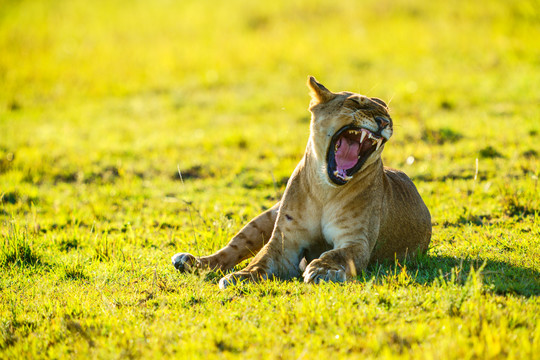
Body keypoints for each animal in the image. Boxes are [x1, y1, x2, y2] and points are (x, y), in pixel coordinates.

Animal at [171, 76, 432, 290]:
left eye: (389, 116)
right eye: (355, 103)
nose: (384, 122)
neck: (325, 190)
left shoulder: (357, 241)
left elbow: (337, 254)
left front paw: (321, 270)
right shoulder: (285, 240)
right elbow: (260, 259)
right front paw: (242, 276)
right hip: (267, 217)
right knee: (231, 250)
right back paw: (189, 262)